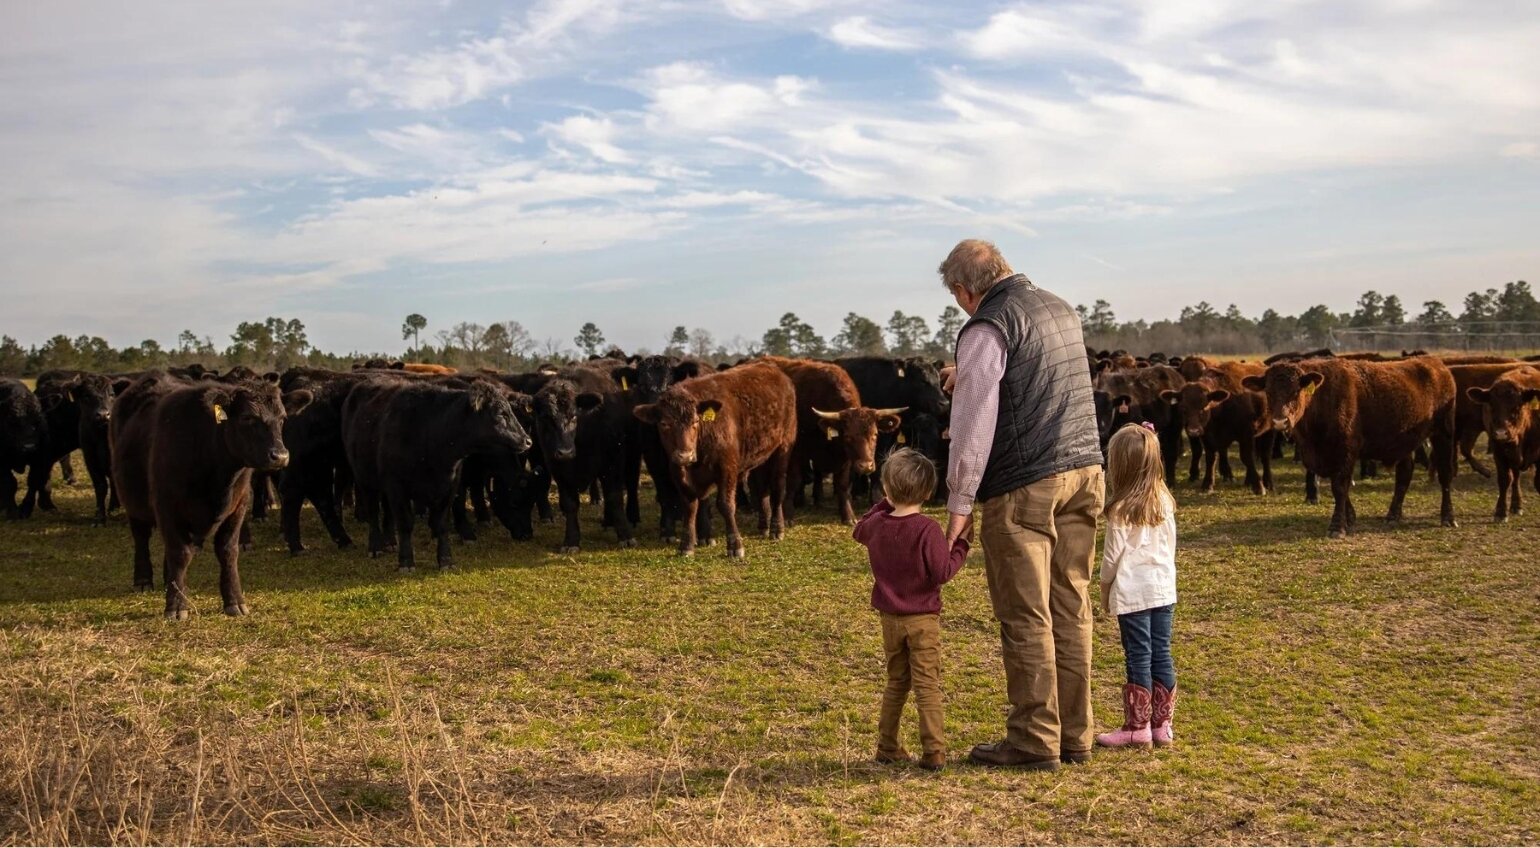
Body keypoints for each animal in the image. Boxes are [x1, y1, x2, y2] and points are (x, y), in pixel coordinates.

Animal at [631, 361, 794, 560]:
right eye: (664, 424)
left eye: (695, 421)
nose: (685, 455)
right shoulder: (678, 473)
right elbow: (690, 507)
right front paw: (686, 545)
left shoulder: (727, 469)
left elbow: (725, 505)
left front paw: (735, 545)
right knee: (762, 488)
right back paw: (764, 525)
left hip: (783, 447)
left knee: (778, 487)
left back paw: (777, 528)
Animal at [757, 353, 899, 523]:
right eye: (848, 436)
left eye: (875, 434)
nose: (866, 466)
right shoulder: (796, 452)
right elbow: (793, 481)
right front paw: (788, 514)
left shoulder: (845, 458)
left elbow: (842, 484)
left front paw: (847, 515)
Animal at [1238, 357, 1453, 538]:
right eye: (1268, 392)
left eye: (1296, 391)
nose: (1280, 422)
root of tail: (1437, 365)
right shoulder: (1323, 456)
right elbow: (1340, 487)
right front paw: (1350, 518)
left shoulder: (1346, 451)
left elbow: (1340, 486)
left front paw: (1337, 527)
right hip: (1405, 444)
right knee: (1404, 475)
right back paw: (1393, 515)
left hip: (1443, 434)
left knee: (1445, 475)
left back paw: (1448, 518)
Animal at [1466, 366, 1540, 520]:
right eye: (1491, 406)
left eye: (1517, 406)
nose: (1501, 433)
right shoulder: (1499, 453)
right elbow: (1505, 480)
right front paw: (1500, 512)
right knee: (1515, 477)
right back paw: (1516, 505)